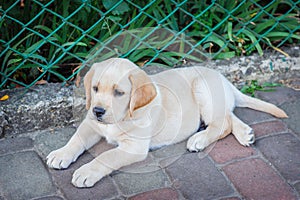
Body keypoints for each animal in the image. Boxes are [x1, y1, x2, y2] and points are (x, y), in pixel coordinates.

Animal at [45, 57, 288, 188]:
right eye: (95, 88)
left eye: (119, 93)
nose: (97, 111)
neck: (125, 116)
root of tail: (224, 79)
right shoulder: (91, 124)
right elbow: (76, 139)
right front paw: (61, 154)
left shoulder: (134, 147)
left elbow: (106, 156)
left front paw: (86, 172)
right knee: (229, 116)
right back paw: (245, 133)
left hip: (202, 88)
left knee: (223, 123)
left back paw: (199, 140)